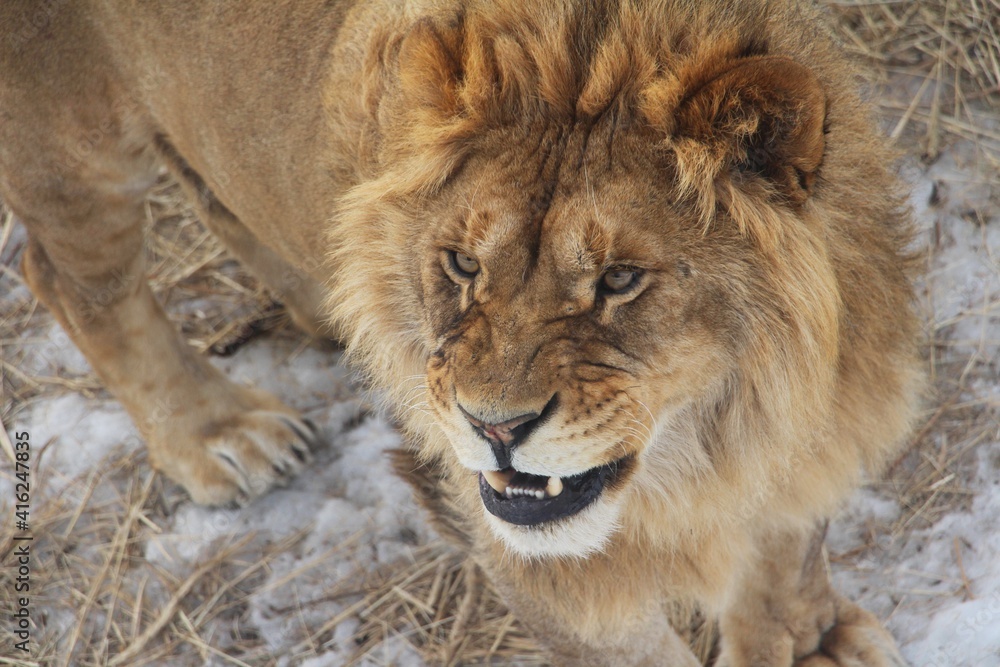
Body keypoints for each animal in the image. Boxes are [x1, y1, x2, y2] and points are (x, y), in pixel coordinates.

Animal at [1, 0, 920, 664]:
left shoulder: (812, 435)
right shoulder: (539, 566)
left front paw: (807, 643)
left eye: (619, 279)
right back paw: (218, 432)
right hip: (69, 145)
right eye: (463, 264)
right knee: (67, 278)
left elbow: (785, 560)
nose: (493, 427)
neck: (714, 433)